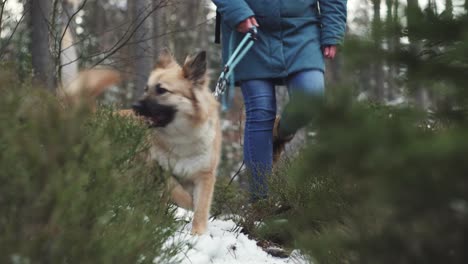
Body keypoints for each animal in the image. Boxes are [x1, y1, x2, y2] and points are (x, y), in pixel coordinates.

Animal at [62, 50, 221, 234]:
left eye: (162, 90)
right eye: (146, 89)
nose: (135, 106)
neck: (181, 138)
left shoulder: (205, 175)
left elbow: (201, 206)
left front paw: (197, 233)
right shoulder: (158, 168)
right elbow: (178, 191)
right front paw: (186, 204)